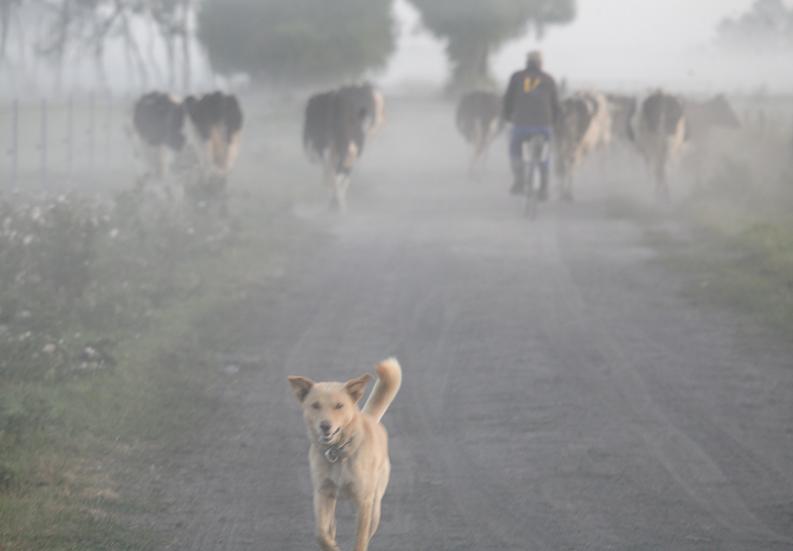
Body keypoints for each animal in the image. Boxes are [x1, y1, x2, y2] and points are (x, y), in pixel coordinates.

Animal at [288, 358, 402, 551]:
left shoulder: (364, 501)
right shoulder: (323, 494)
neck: (337, 452)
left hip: (375, 506)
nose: (325, 426)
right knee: (331, 528)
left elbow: (361, 539)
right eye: (315, 405)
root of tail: (369, 417)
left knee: (369, 529)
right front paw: (332, 546)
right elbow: (321, 534)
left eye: (339, 406)